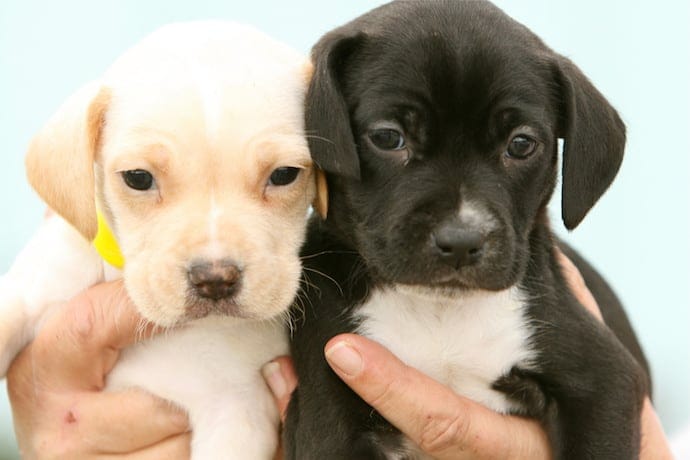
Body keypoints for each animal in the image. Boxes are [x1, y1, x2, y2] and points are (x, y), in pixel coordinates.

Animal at [286, 1, 652, 458]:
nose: (461, 241)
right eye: (388, 137)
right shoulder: (331, 402)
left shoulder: (604, 382)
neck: (441, 315)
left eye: (521, 144)